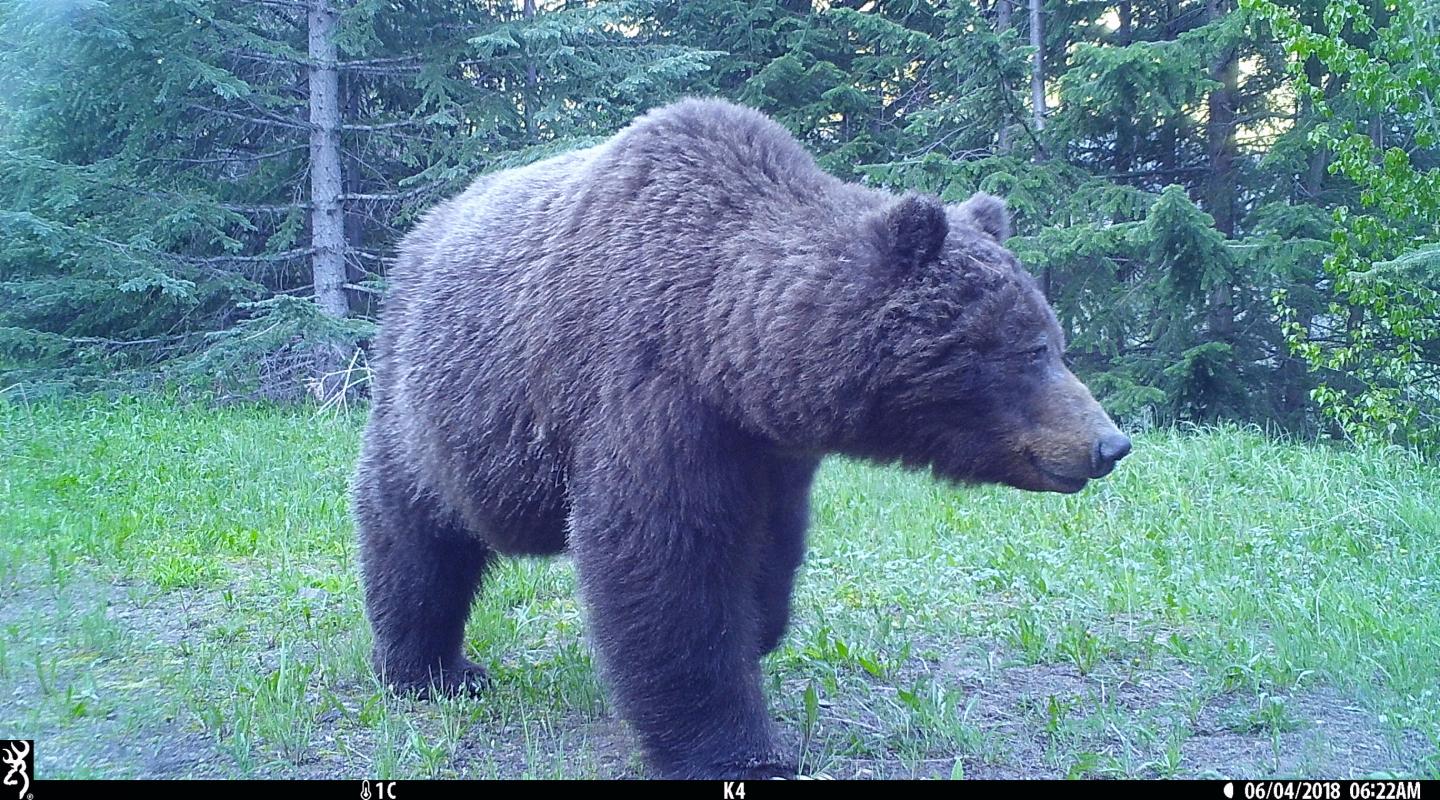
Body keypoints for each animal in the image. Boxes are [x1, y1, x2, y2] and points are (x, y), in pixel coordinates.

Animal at [351, 97, 1131, 779]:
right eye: (1031, 349)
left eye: (1056, 341)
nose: (1109, 445)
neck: (727, 345)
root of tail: (421, 231)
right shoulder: (647, 394)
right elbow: (668, 570)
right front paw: (739, 749)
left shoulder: (769, 452)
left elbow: (769, 551)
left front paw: (759, 629)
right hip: (438, 404)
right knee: (413, 530)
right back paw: (432, 669)